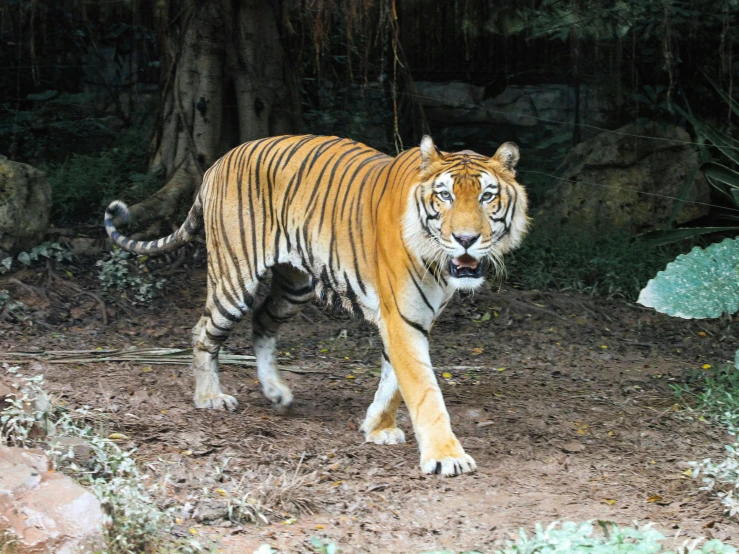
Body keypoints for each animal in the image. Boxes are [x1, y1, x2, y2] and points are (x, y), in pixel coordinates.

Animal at [105, 134, 532, 474]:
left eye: (487, 196)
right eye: (445, 195)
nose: (466, 239)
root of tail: (217, 163)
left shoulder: (414, 320)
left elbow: (394, 380)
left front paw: (377, 427)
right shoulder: (402, 318)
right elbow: (423, 390)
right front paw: (446, 457)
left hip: (293, 287)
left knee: (262, 322)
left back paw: (276, 392)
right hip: (234, 278)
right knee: (203, 331)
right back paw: (210, 397)